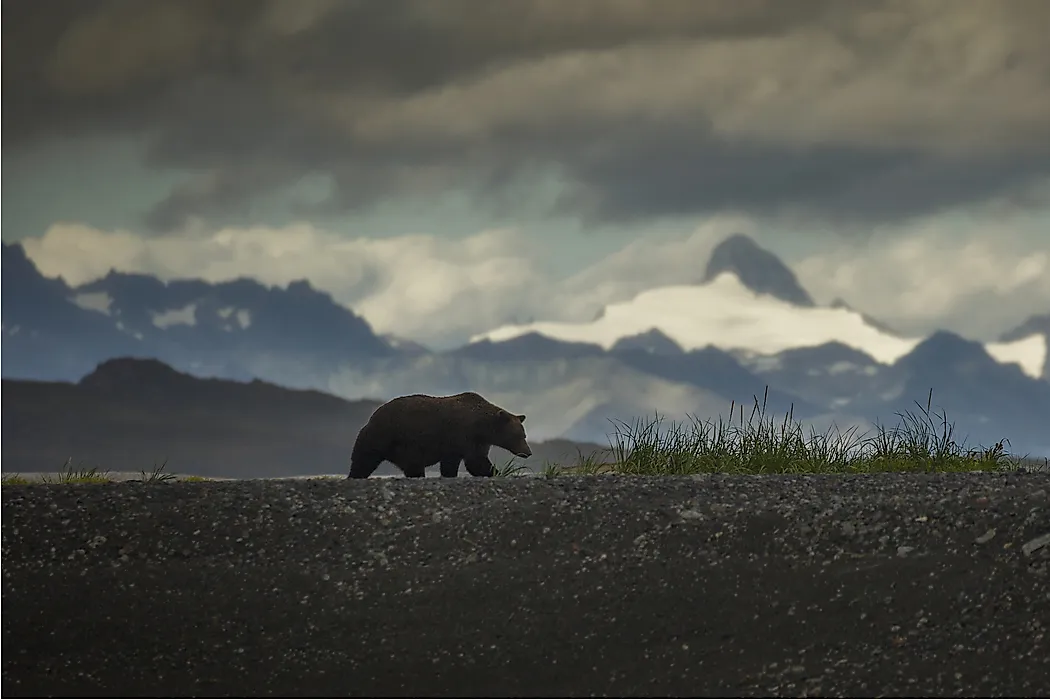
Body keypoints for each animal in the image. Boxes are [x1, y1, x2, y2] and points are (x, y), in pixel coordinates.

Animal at [346, 391, 533, 479]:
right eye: (518, 436)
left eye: (524, 435)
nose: (528, 452)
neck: (482, 428)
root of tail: (372, 417)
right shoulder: (461, 435)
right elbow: (473, 462)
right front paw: (498, 472)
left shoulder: (476, 442)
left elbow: (472, 461)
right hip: (387, 437)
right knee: (365, 459)